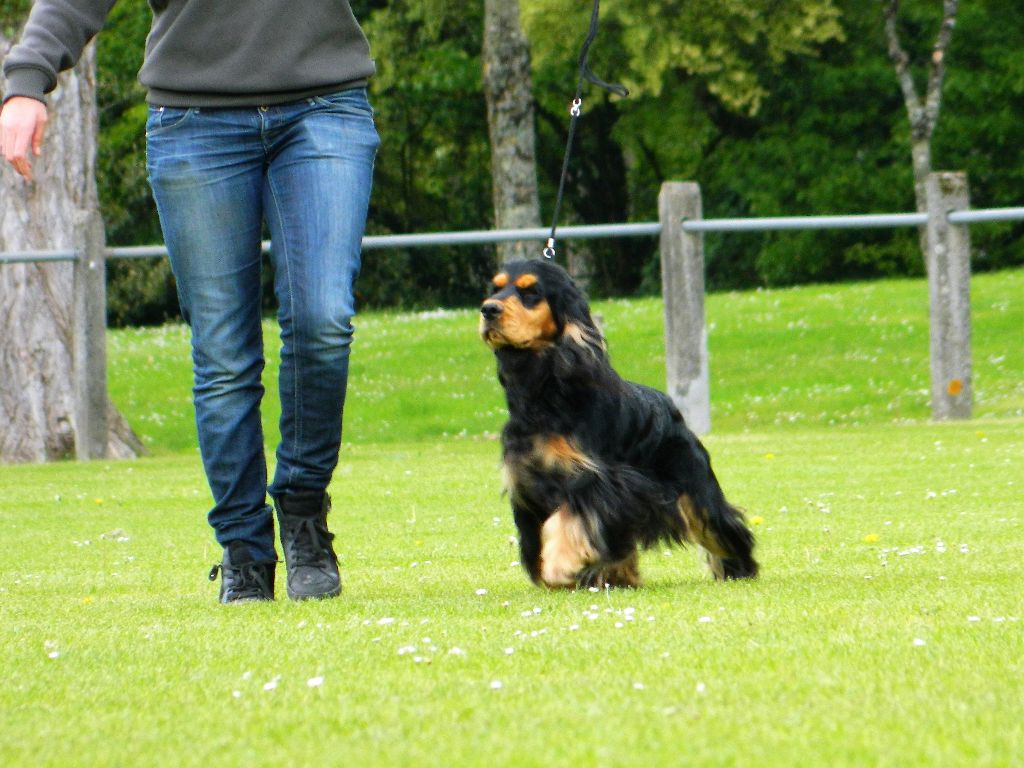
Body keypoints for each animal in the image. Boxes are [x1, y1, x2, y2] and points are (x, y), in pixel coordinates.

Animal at [479, 259, 758, 589]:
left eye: (531, 291)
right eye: (495, 288)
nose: (488, 309)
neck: (547, 389)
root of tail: (670, 406)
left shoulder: (594, 479)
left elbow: (568, 518)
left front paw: (559, 565)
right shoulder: (526, 481)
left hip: (693, 486)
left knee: (719, 524)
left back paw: (739, 569)